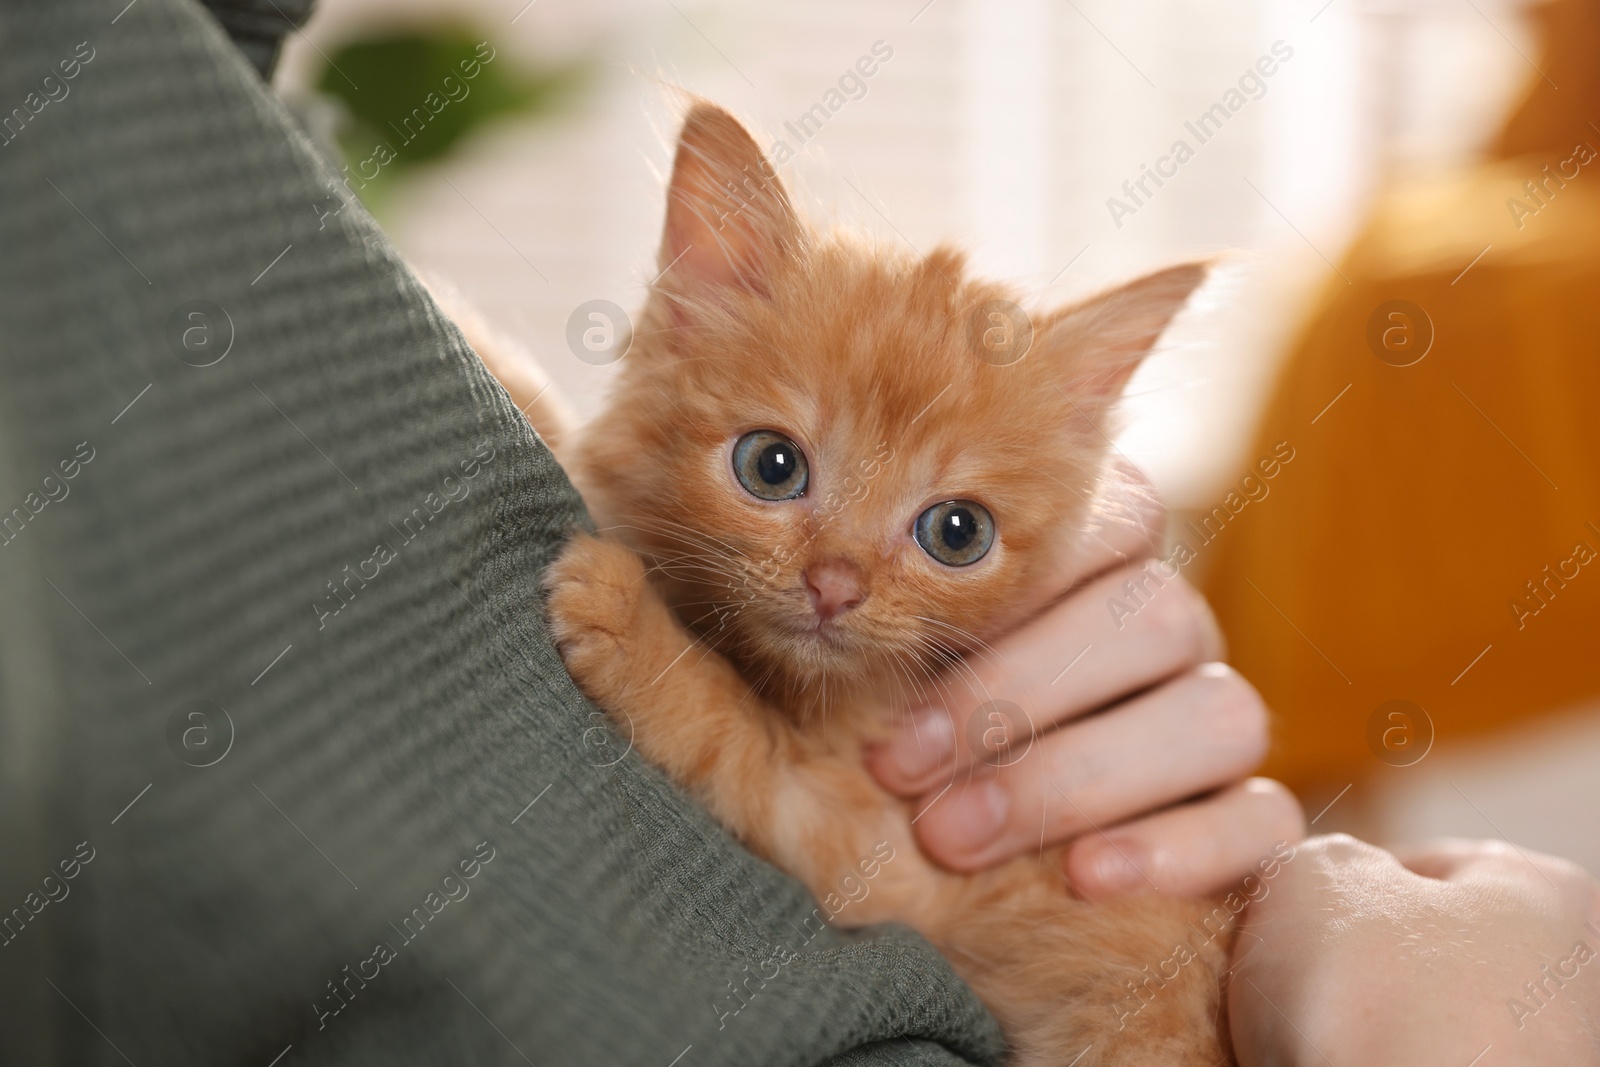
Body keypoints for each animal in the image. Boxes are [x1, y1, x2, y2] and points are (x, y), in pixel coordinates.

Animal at [544, 102, 1228, 1067]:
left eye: (957, 532)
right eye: (771, 464)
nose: (834, 583)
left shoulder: (888, 854)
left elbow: (737, 737)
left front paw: (631, 622)